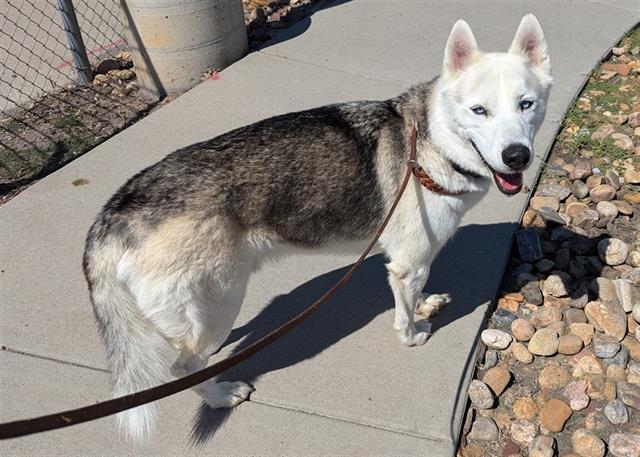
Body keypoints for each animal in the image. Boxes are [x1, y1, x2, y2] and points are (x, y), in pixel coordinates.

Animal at [84, 14, 552, 438]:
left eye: (526, 104)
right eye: (479, 110)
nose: (516, 156)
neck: (434, 140)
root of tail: (116, 212)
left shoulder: (411, 264)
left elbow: (415, 296)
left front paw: (423, 305)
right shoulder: (408, 264)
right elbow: (404, 315)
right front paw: (413, 333)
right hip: (219, 303)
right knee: (182, 368)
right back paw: (219, 395)